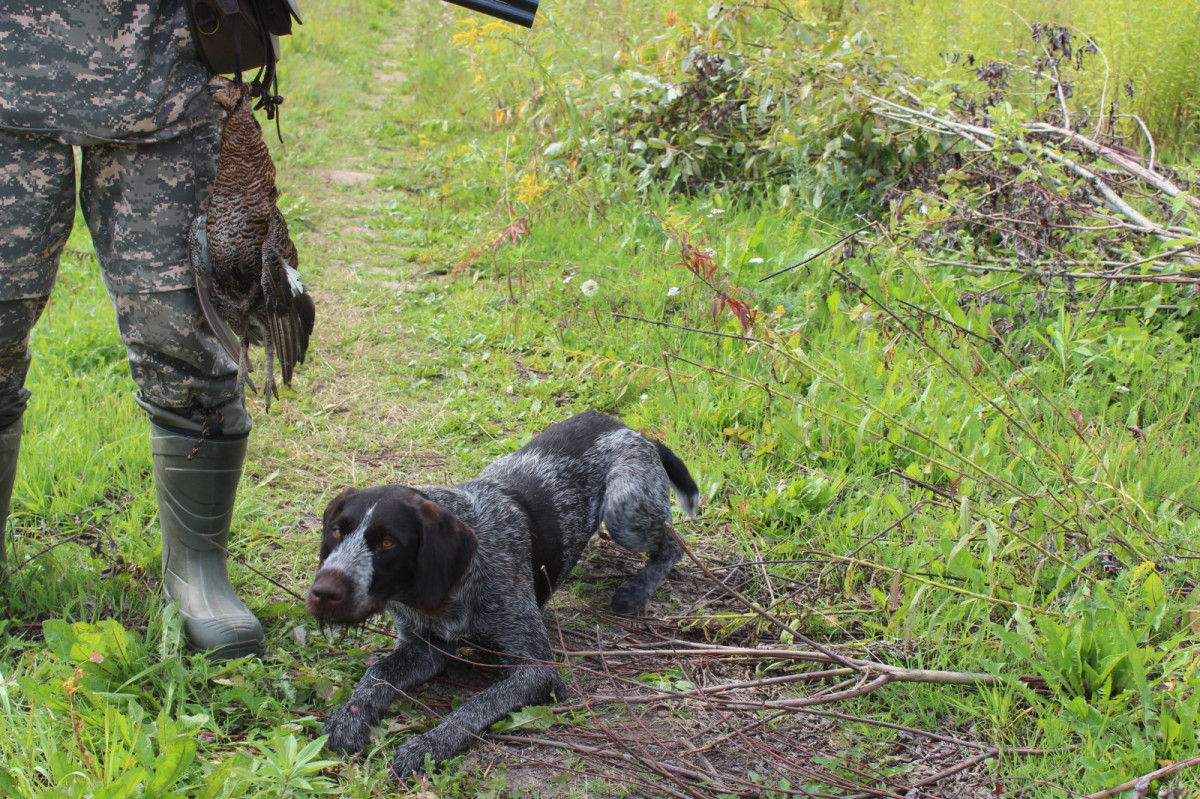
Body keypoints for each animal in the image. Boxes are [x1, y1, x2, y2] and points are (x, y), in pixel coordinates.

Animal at [309, 410, 700, 777]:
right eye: (336, 531)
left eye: (388, 542)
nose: (323, 592)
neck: (444, 590)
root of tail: (632, 430)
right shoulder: (424, 648)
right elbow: (375, 675)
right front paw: (348, 718)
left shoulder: (538, 671)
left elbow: (475, 706)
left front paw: (427, 746)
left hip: (624, 511)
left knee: (674, 544)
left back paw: (636, 590)